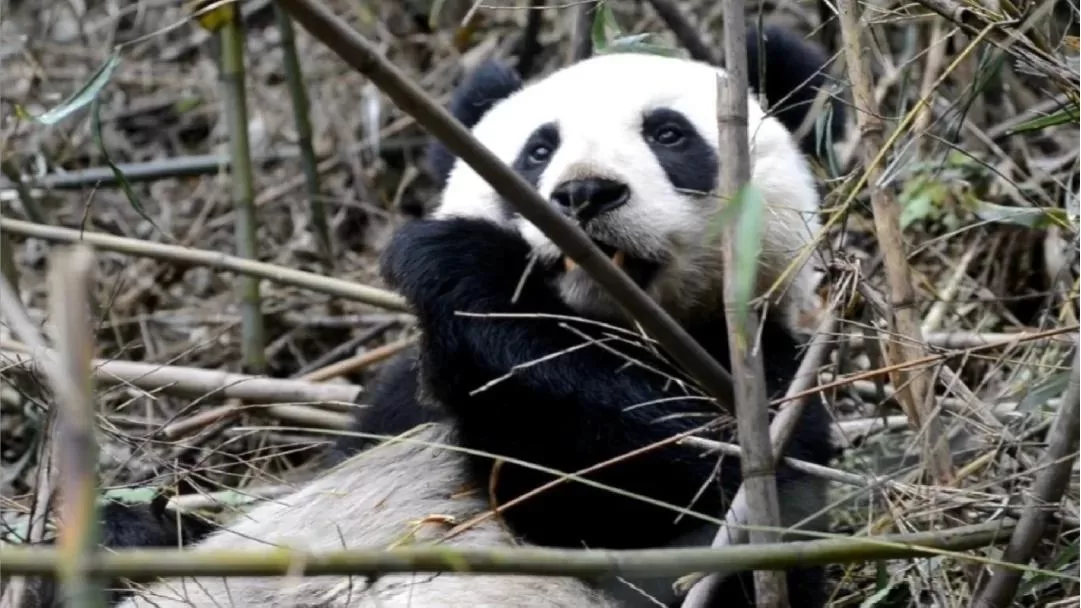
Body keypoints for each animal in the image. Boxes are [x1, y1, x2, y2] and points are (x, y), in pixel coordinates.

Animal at [8, 23, 845, 608]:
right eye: (537, 151)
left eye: (669, 134)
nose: (583, 195)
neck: (603, 323)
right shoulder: (392, 406)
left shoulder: (764, 385)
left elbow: (665, 496)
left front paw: (465, 264)